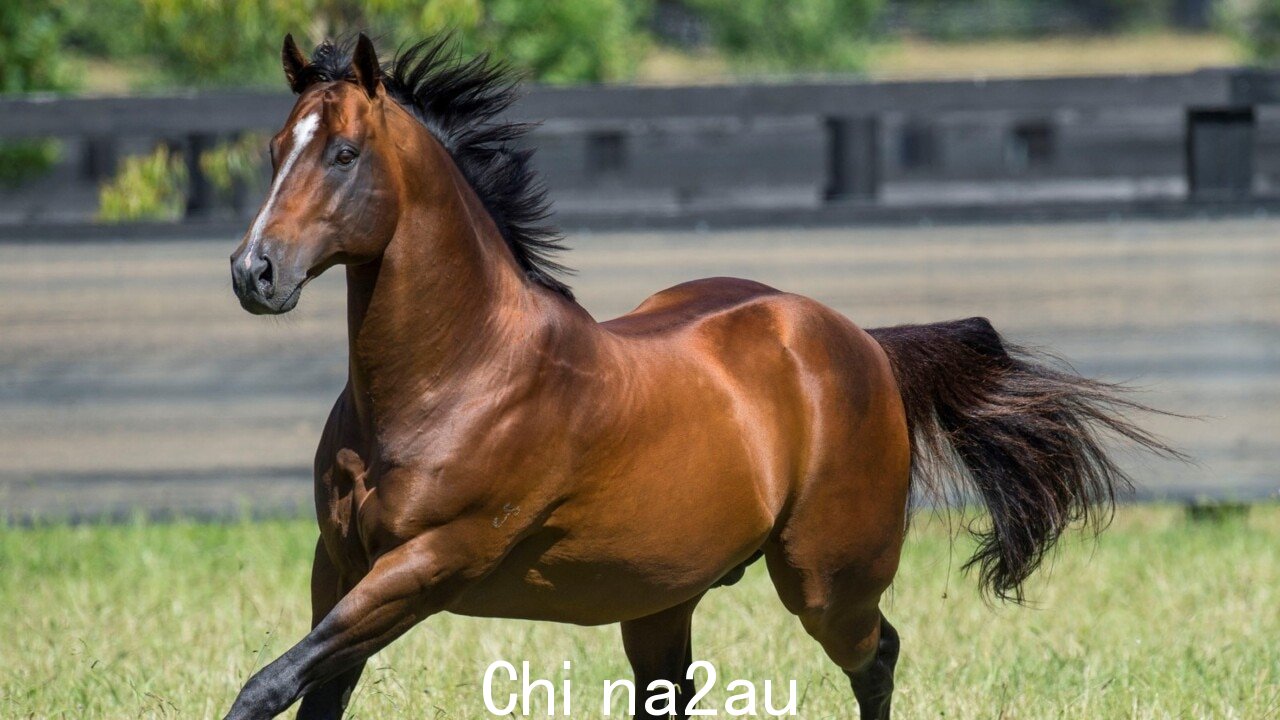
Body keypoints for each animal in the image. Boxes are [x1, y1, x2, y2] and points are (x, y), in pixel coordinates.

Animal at [225, 33, 1172, 717]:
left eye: (344, 154)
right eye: (275, 149)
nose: (253, 272)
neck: (456, 379)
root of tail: (863, 342)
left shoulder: (431, 563)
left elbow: (268, 685)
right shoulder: (340, 563)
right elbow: (310, 690)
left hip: (827, 584)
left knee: (879, 656)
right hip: (659, 599)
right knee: (675, 693)